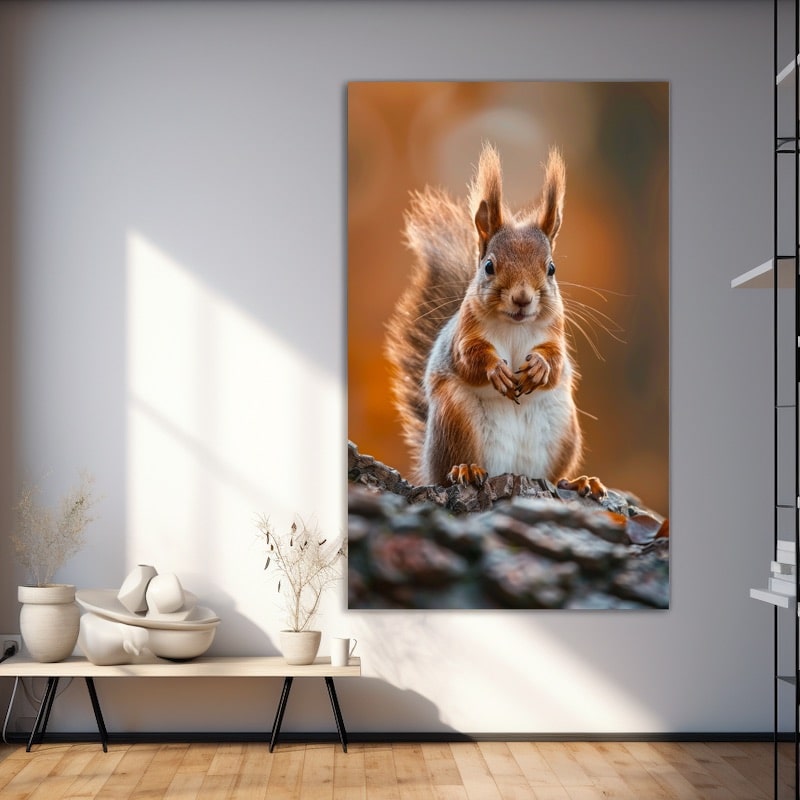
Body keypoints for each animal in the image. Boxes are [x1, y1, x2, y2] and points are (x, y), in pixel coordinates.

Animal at [385, 143, 605, 499]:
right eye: (489, 266)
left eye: (551, 268)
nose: (522, 298)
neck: (515, 326)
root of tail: (513, 470)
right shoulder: (464, 334)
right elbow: (468, 358)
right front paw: (496, 371)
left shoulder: (554, 333)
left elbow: (557, 361)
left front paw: (539, 368)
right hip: (455, 420)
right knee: (448, 472)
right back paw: (466, 469)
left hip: (564, 430)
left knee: (554, 475)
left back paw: (578, 482)